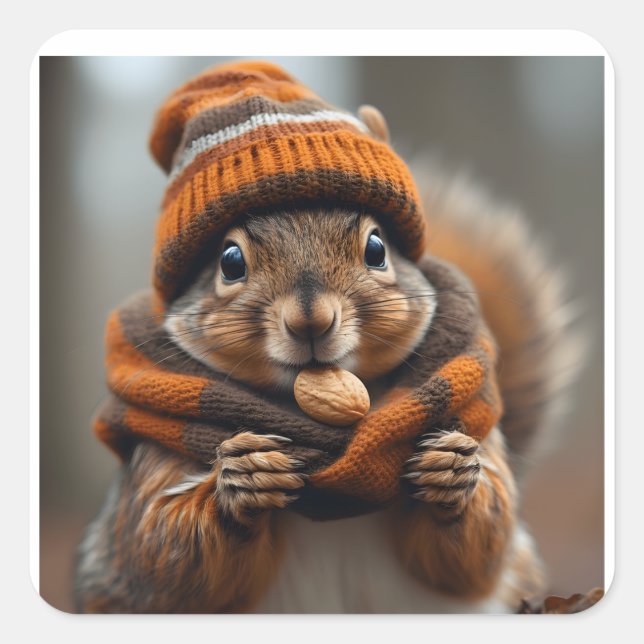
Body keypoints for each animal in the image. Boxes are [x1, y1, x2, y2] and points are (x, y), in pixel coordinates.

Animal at [73, 62, 579, 613]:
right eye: (229, 261)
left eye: (378, 248)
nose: (311, 320)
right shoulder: (154, 462)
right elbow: (162, 550)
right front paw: (241, 481)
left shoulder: (479, 436)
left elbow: (473, 554)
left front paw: (451, 473)